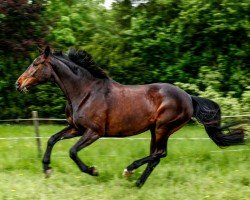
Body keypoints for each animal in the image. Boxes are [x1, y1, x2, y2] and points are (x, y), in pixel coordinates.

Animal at [16, 46, 246, 187]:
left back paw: (129, 170)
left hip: (163, 128)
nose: (18, 84)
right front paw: (47, 169)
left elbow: (72, 152)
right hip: (156, 130)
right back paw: (137, 183)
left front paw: (93, 170)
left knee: (159, 154)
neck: (85, 91)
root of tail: (188, 97)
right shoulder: (76, 128)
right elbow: (51, 139)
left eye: (35, 63)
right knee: (156, 156)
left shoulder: (94, 132)